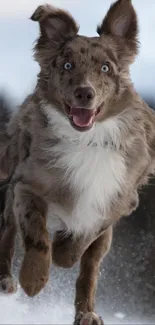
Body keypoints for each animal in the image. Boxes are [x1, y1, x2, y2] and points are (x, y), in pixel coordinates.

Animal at [0, 0, 155, 322]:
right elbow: (36, 236)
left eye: (106, 67)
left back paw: (87, 314)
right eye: (67, 65)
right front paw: (33, 280)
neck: (88, 140)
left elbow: (82, 241)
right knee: (7, 230)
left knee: (89, 270)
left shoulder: (117, 201)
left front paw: (63, 250)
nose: (85, 93)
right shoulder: (26, 185)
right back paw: (7, 280)